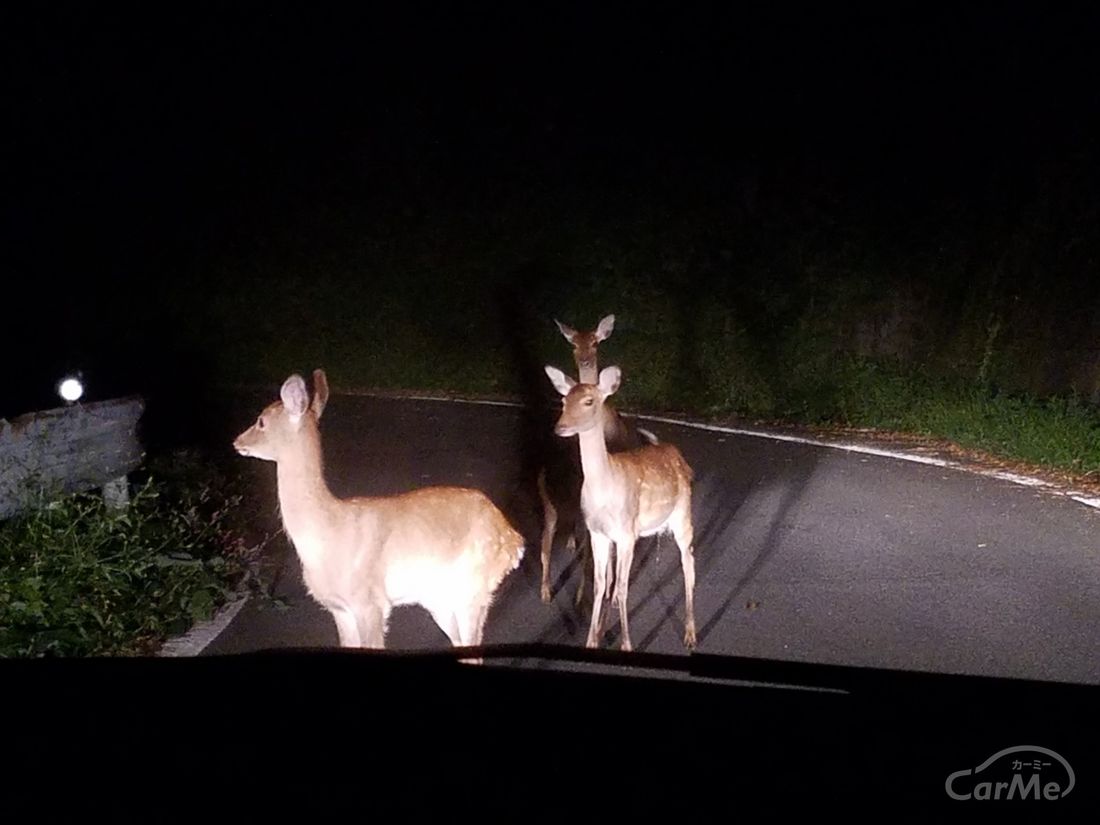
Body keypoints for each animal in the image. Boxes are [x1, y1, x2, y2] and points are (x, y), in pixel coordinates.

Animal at [231, 369, 523, 664]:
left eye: (261, 421)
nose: (237, 442)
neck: (326, 534)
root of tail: (515, 541)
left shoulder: (370, 602)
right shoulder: (340, 609)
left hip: (471, 588)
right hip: (440, 599)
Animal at [541, 360, 695, 651]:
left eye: (589, 400)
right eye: (564, 400)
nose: (559, 427)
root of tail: (677, 454)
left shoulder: (626, 533)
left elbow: (623, 588)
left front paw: (626, 644)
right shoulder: (598, 533)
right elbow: (600, 584)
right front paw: (592, 640)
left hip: (683, 515)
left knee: (688, 563)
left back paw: (690, 634)